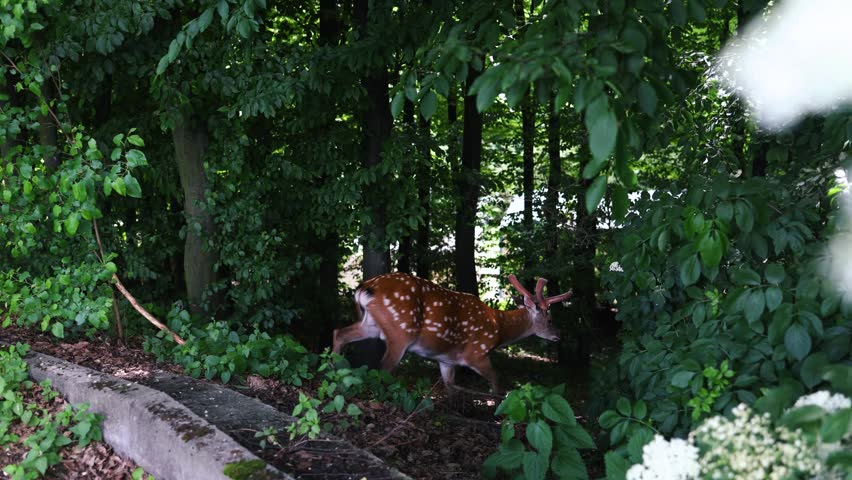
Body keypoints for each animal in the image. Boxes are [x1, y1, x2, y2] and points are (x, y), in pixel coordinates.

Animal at [332, 272, 572, 392]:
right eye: (550, 319)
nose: (559, 335)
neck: (499, 328)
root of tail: (365, 288)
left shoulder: (446, 360)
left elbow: (451, 386)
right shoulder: (477, 353)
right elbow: (496, 381)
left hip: (371, 324)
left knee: (338, 332)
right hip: (401, 331)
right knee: (384, 367)